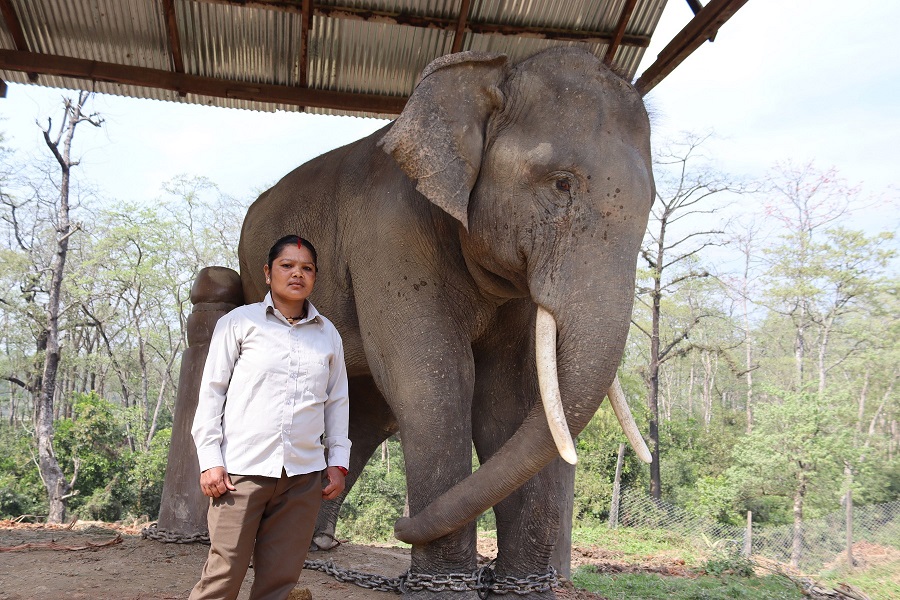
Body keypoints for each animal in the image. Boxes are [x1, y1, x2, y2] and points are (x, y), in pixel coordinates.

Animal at [214, 45, 652, 596]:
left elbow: (509, 399)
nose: (399, 527)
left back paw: (318, 544)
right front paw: (446, 585)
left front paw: (522, 587)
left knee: (366, 413)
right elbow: (433, 382)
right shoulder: (389, 235)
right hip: (254, 273)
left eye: (652, 202)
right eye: (562, 183)